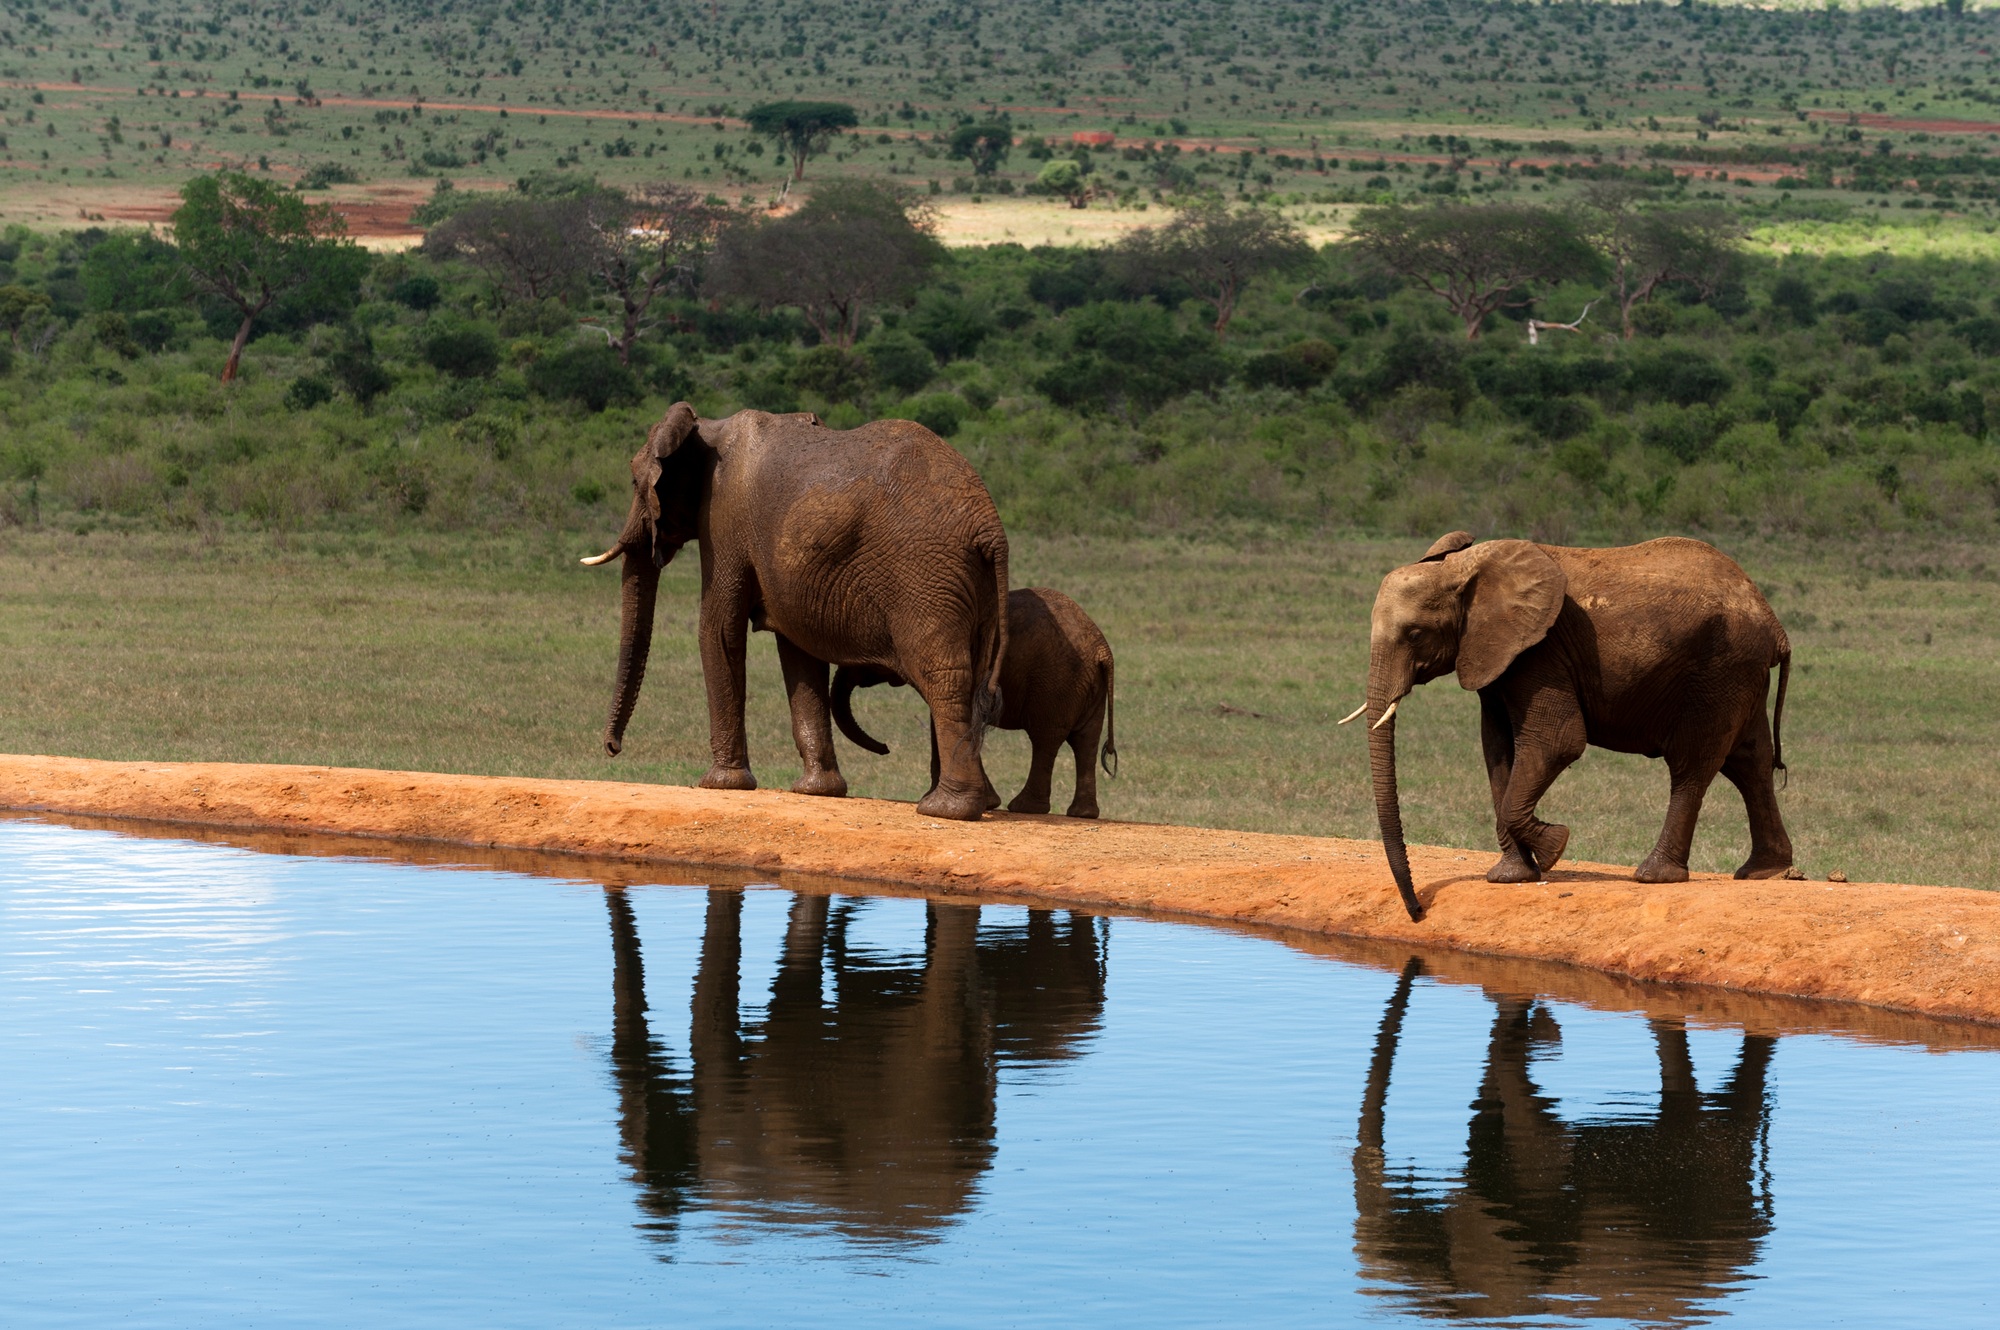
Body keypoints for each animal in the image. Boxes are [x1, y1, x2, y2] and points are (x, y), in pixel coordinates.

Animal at [583, 403, 1011, 820]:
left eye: (635, 483)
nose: (612, 748)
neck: (707, 426)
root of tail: (990, 527)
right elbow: (798, 650)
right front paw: (817, 791)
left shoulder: (723, 517)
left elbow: (718, 630)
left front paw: (719, 784)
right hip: (971, 586)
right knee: (970, 679)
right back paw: (981, 803)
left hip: (924, 577)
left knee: (942, 677)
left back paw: (946, 810)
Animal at [829, 587, 1118, 819]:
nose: (885, 748)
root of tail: (1102, 649)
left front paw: (974, 802)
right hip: (1086, 685)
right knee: (1085, 742)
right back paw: (1082, 814)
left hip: (1056, 682)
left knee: (1045, 740)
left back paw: (1025, 808)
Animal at [1347, 532, 1794, 921]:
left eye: (1414, 634)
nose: (1417, 912)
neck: (1460, 568)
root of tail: (1774, 622)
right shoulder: (1495, 655)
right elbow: (1497, 750)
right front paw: (1511, 877)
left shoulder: (1540, 650)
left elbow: (1557, 742)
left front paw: (1555, 845)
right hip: (1740, 673)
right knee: (1751, 763)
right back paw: (1764, 872)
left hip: (1720, 669)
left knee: (1693, 766)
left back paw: (1654, 876)